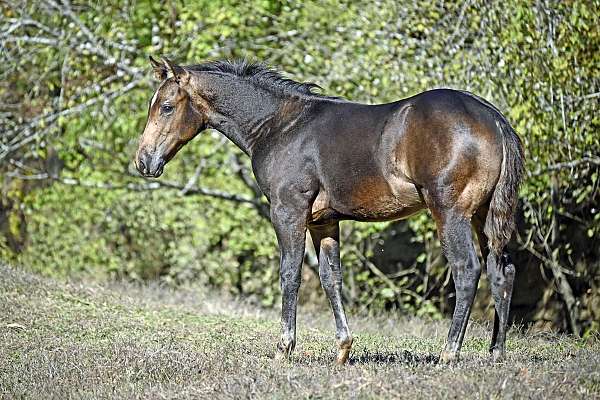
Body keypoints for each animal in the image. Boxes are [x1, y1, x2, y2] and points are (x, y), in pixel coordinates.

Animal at [136, 57, 524, 366]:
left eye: (166, 106)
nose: (143, 161)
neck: (280, 126)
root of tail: (493, 118)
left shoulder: (288, 210)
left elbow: (290, 274)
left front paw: (284, 349)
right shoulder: (324, 222)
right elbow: (330, 278)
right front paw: (343, 348)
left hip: (450, 212)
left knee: (467, 269)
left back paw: (449, 352)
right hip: (483, 216)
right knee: (501, 270)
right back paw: (496, 353)